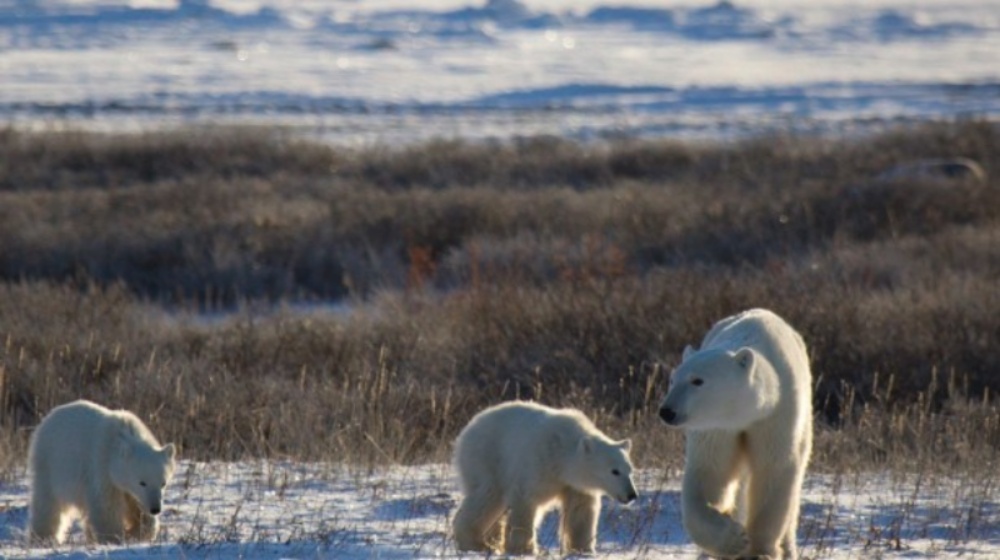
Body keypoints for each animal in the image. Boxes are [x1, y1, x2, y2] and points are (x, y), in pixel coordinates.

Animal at [28, 400, 177, 544]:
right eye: (142, 483)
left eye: (163, 483)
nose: (155, 509)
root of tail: (48, 417)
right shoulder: (102, 468)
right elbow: (106, 505)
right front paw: (114, 537)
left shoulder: (130, 488)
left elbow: (137, 508)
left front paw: (137, 532)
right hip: (49, 462)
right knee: (48, 502)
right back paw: (43, 538)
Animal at [456, 400, 640, 552]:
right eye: (614, 471)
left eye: (630, 470)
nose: (631, 494)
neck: (561, 453)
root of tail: (468, 427)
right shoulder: (539, 464)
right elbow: (524, 501)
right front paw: (523, 549)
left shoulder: (575, 484)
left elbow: (580, 511)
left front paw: (583, 549)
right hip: (487, 458)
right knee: (487, 497)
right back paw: (474, 542)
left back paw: (490, 541)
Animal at [656, 308, 812, 560]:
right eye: (672, 379)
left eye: (697, 380)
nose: (667, 411)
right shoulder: (717, 428)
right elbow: (710, 473)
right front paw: (733, 540)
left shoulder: (776, 415)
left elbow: (773, 470)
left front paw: (760, 551)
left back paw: (788, 549)